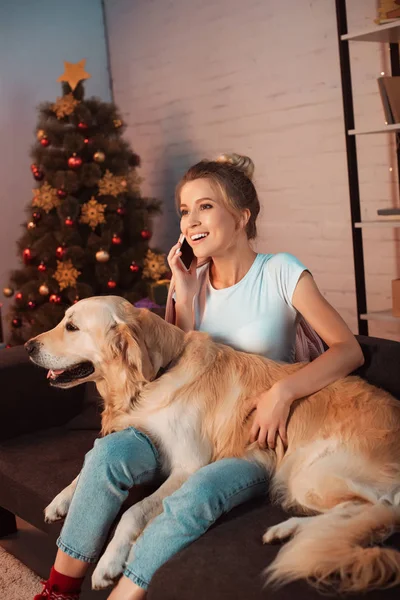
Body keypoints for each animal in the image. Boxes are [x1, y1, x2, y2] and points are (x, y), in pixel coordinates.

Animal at [24, 296, 400, 592]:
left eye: (72, 327)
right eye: (63, 320)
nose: (28, 346)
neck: (154, 375)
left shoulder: (187, 466)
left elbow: (133, 511)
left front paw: (108, 563)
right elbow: (88, 463)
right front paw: (60, 500)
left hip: (307, 475)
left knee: (377, 509)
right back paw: (286, 530)